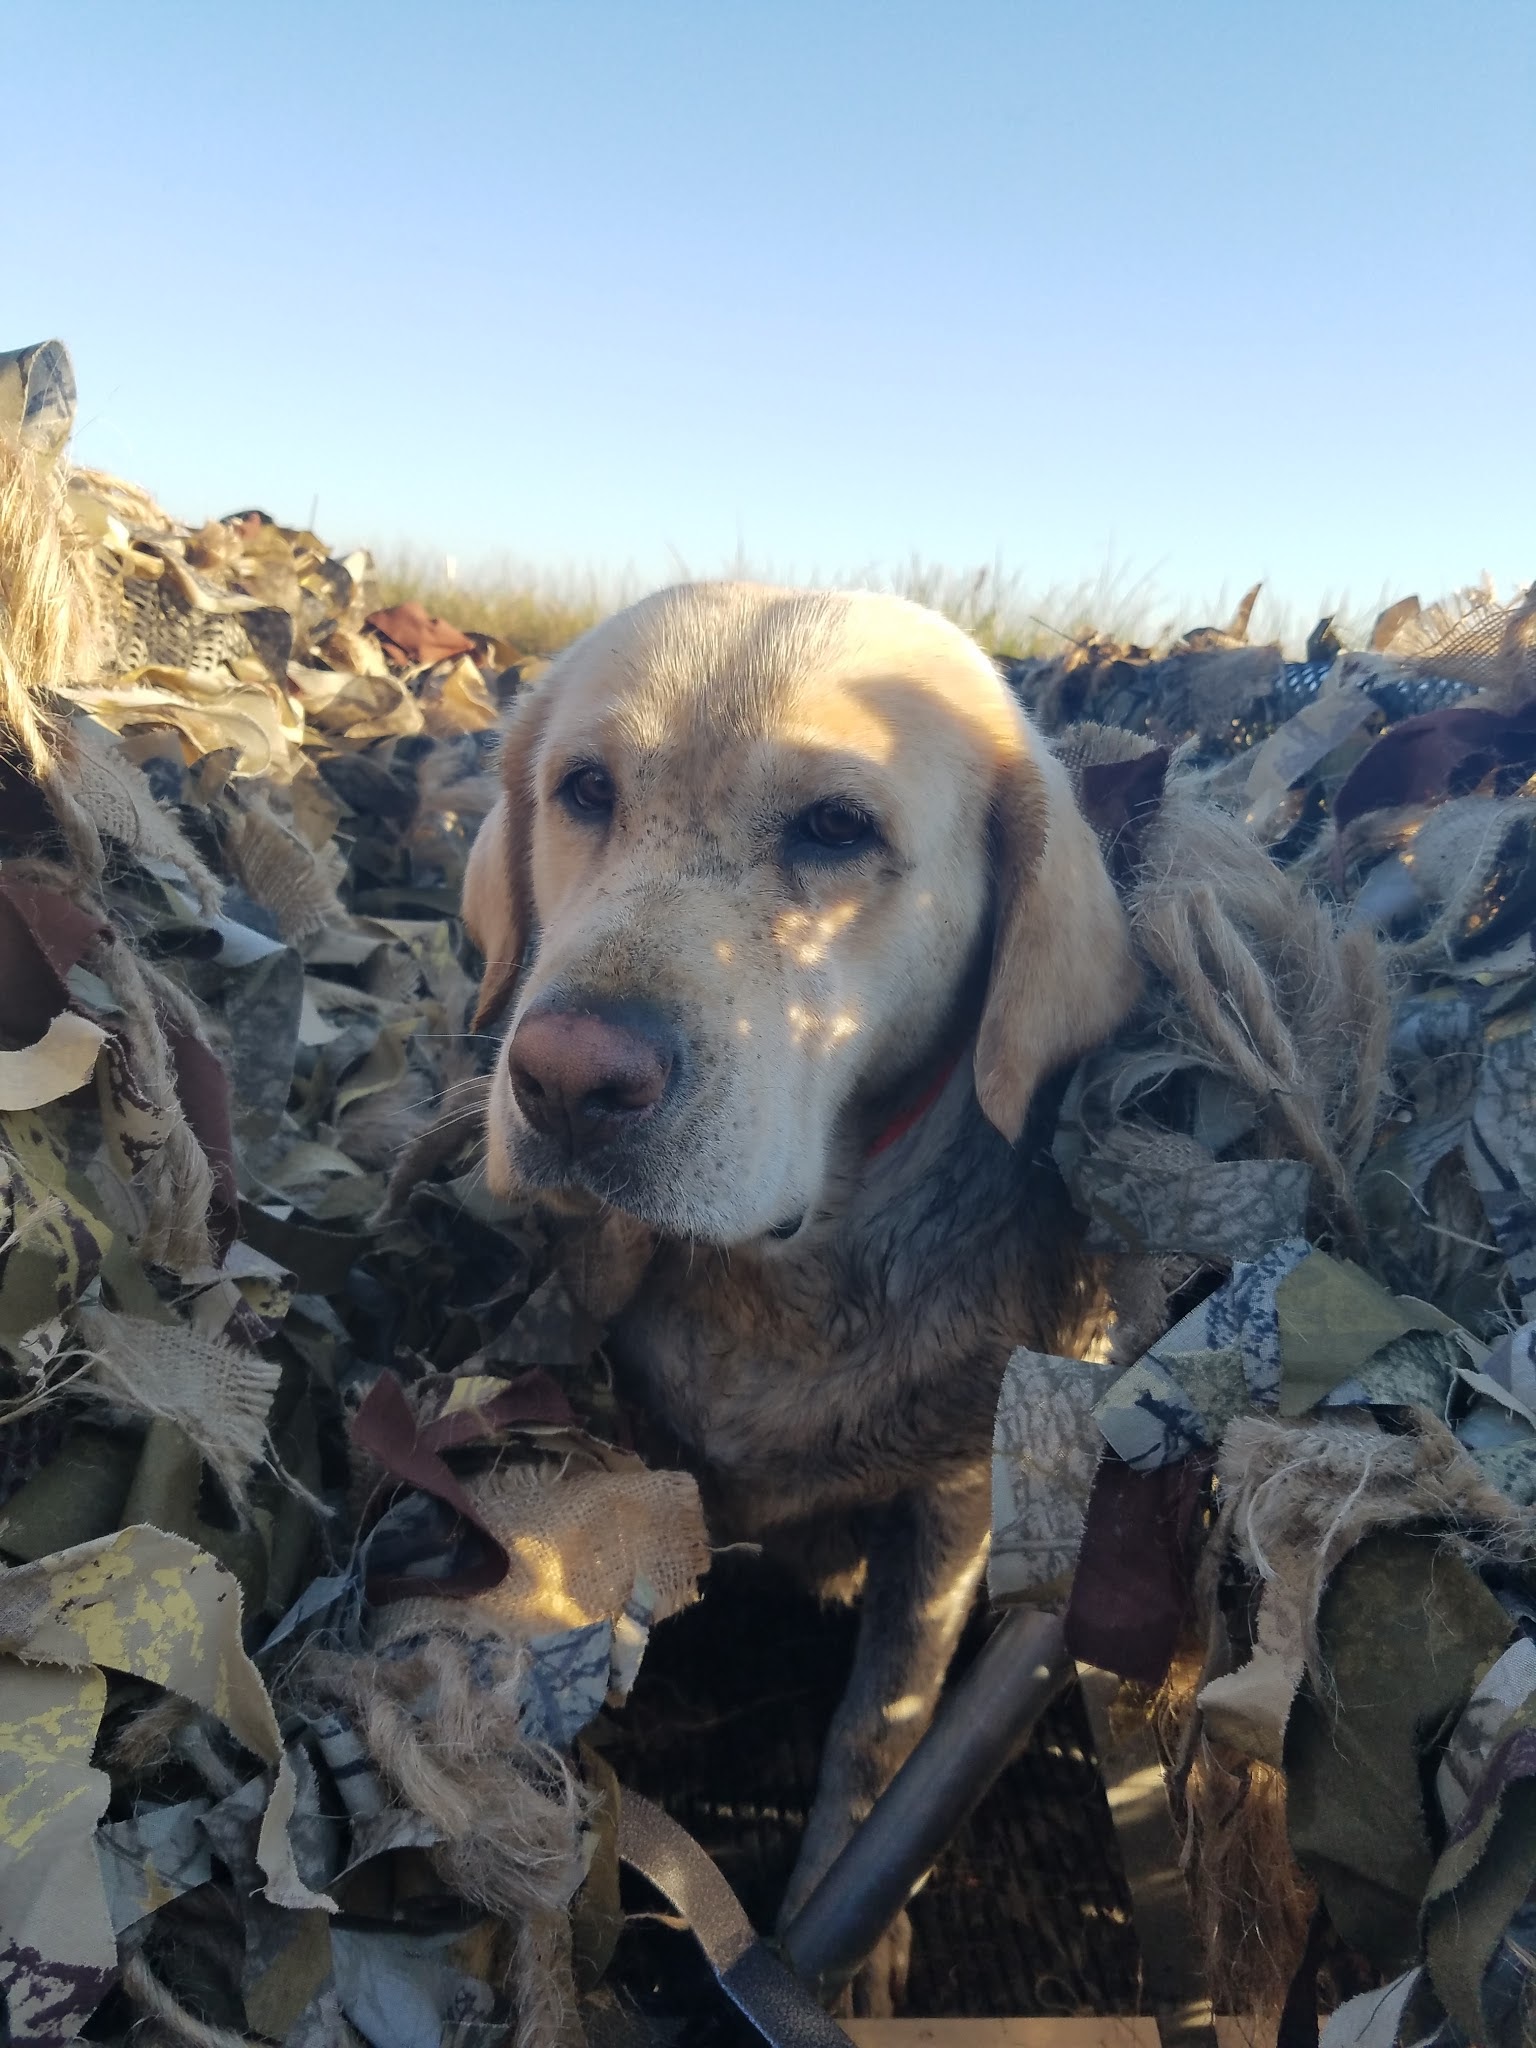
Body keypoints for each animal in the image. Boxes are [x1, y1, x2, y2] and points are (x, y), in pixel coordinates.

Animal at [462, 581, 1146, 2015]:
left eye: (838, 827)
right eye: (585, 790)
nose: (567, 1077)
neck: (780, 1279)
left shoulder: (956, 1501)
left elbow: (884, 1723)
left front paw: (841, 1927)